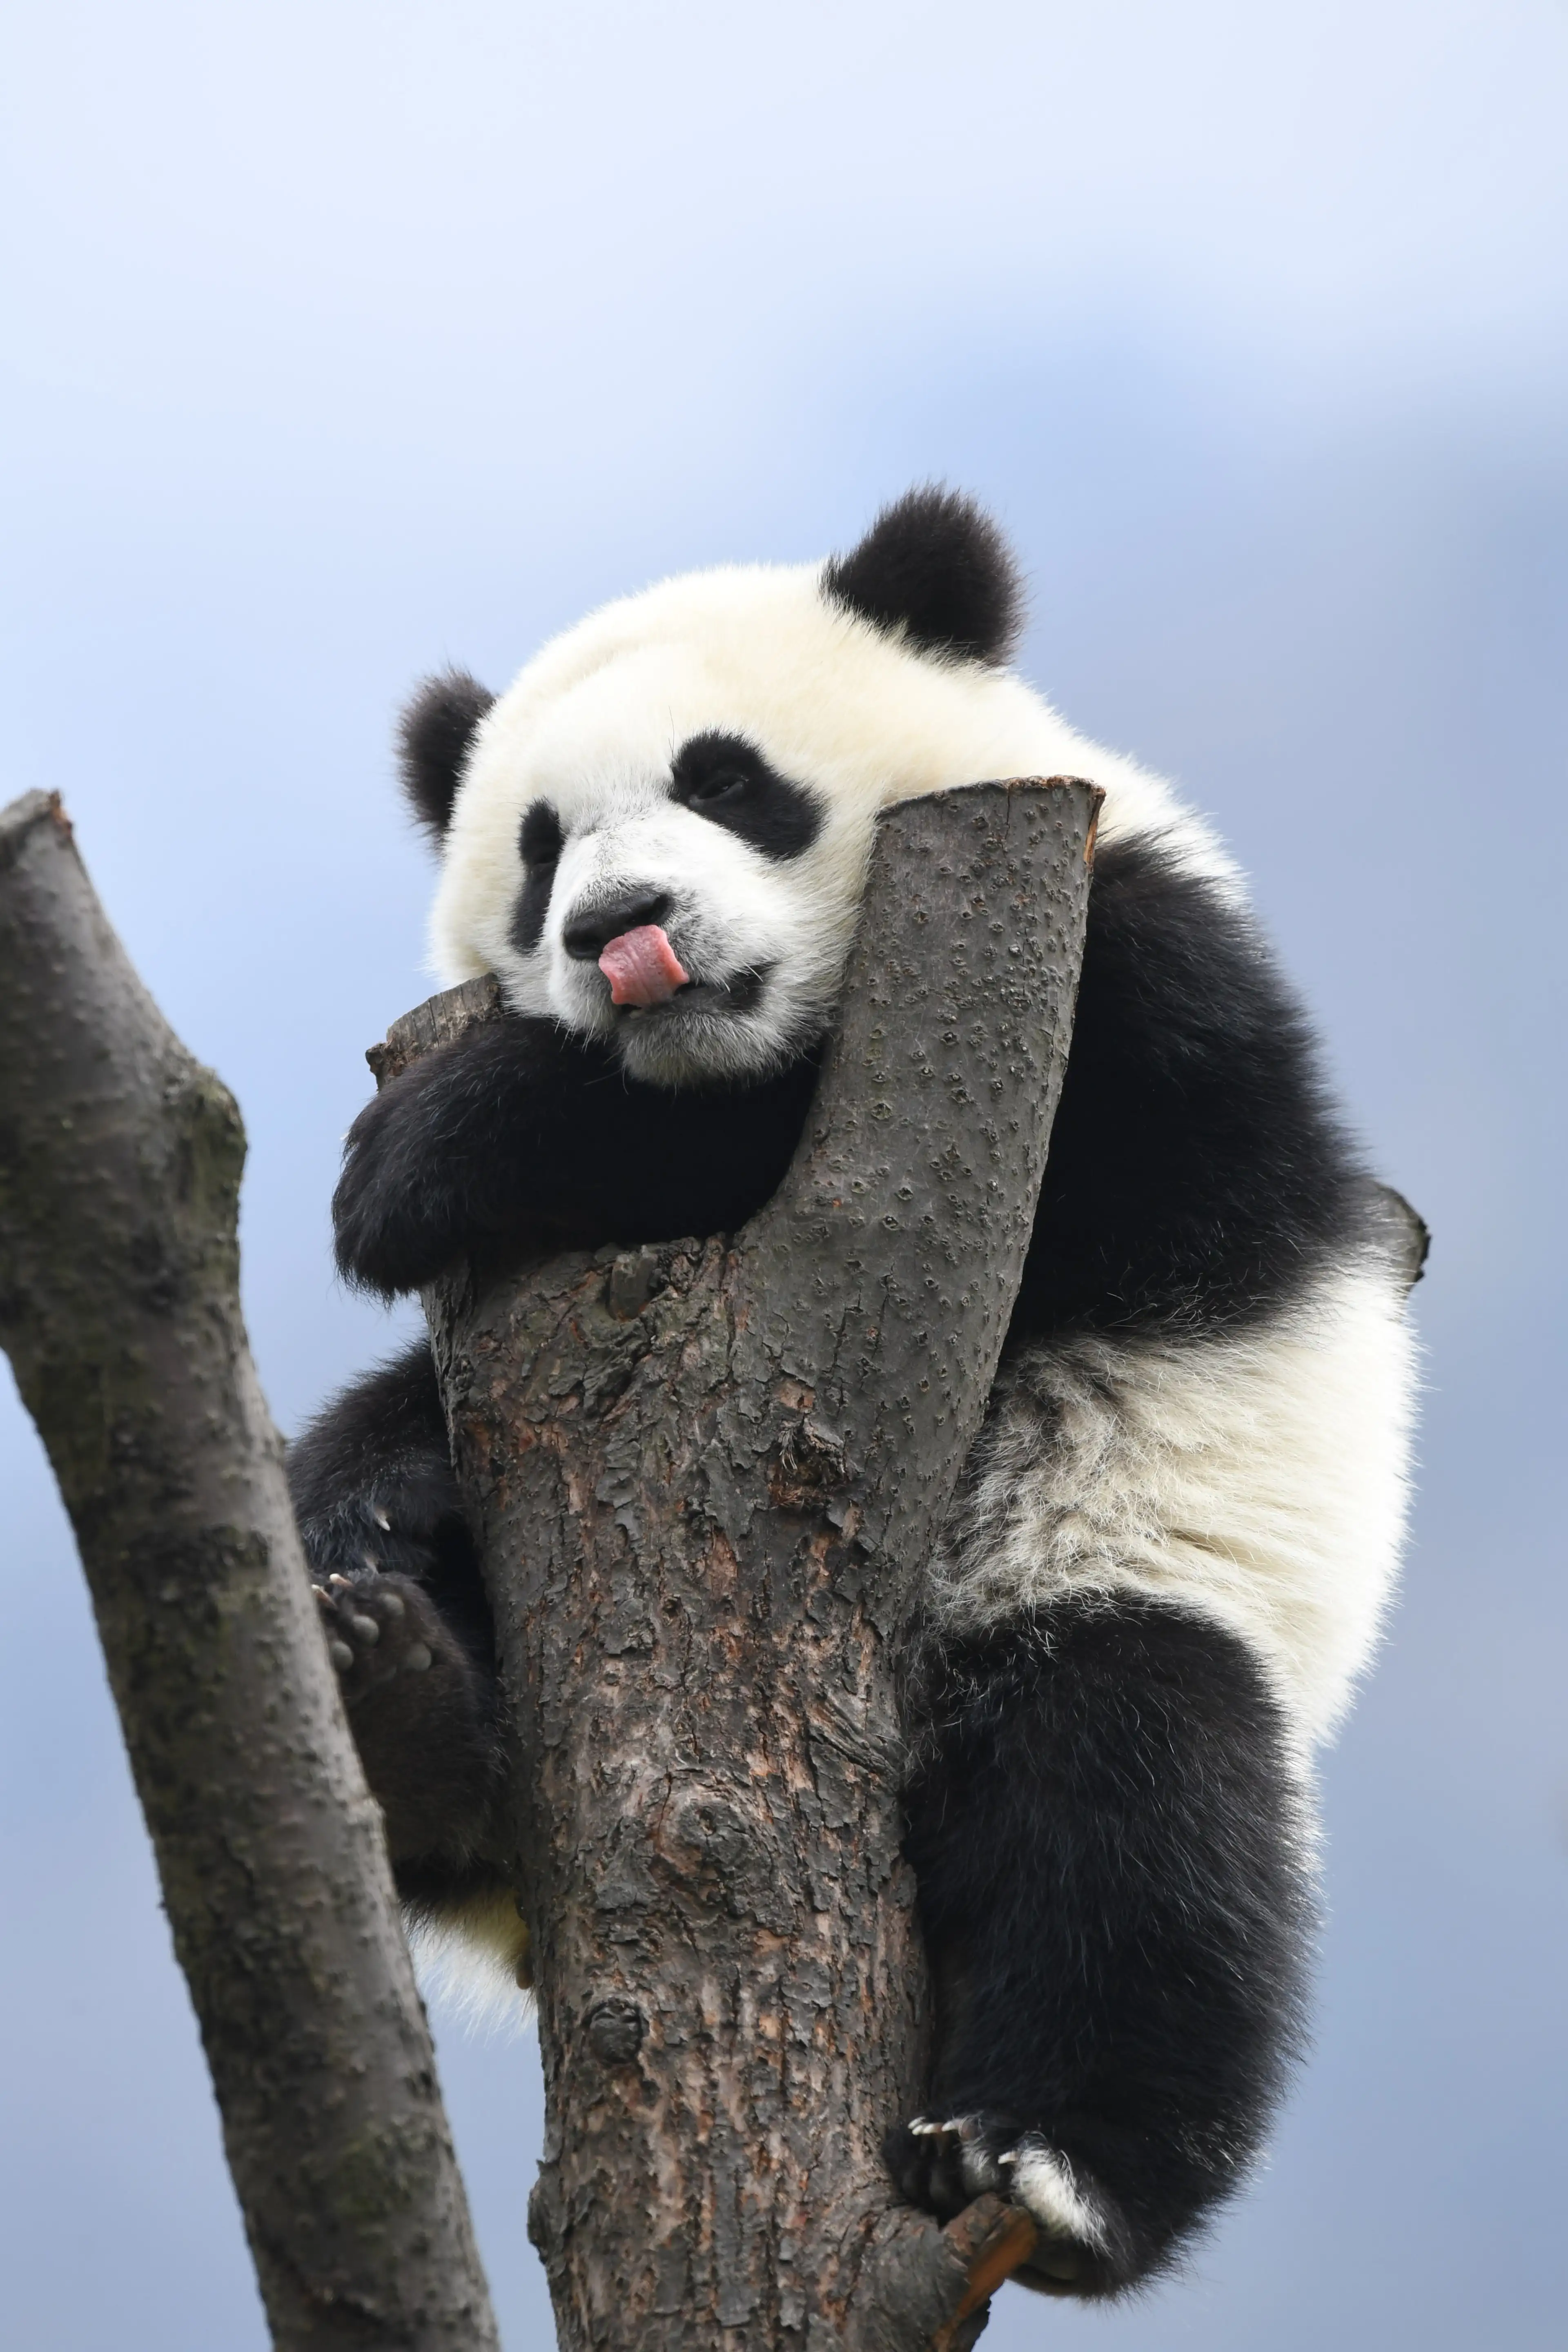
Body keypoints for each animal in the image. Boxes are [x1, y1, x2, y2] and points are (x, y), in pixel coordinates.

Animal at [288, 488, 1421, 2298]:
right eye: (537, 851)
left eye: (727, 780)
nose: (616, 932)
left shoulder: (1111, 986)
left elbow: (842, 1130)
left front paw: (427, 1155)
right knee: (362, 1511)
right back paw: (400, 1696)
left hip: (1115, 1561)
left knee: (1131, 1797)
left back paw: (1051, 2166)